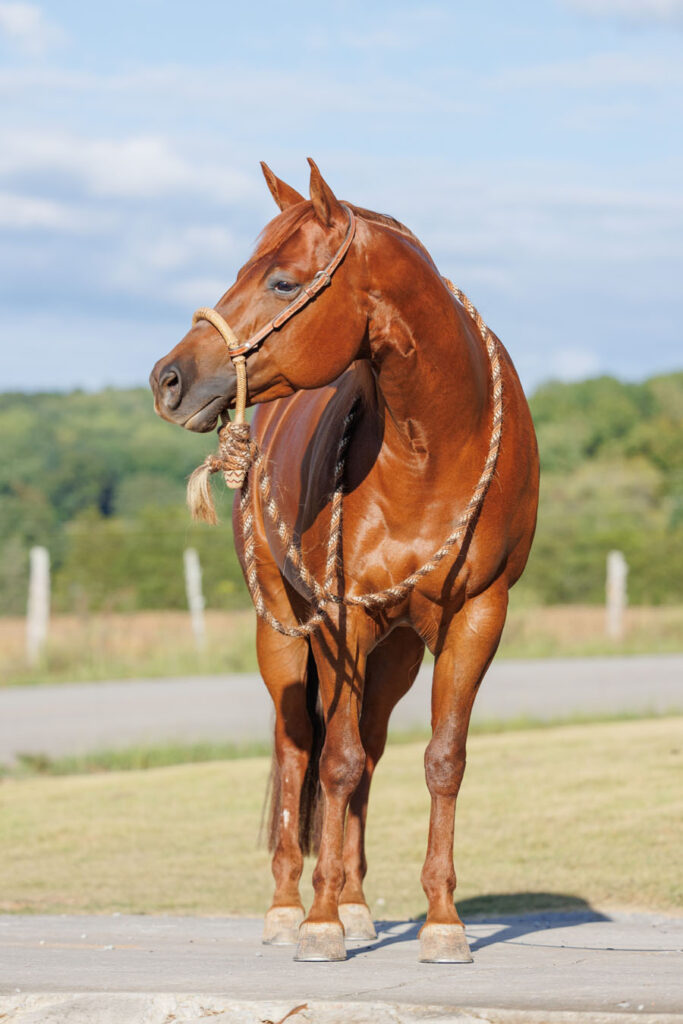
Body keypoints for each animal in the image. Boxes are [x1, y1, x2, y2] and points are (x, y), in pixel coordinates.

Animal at [149, 157, 540, 958]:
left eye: (282, 283)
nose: (168, 380)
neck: (431, 446)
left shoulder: (478, 615)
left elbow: (440, 760)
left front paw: (442, 922)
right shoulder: (336, 619)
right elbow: (333, 761)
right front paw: (319, 922)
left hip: (394, 652)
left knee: (371, 749)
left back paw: (358, 902)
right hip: (282, 636)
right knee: (300, 745)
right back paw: (287, 908)